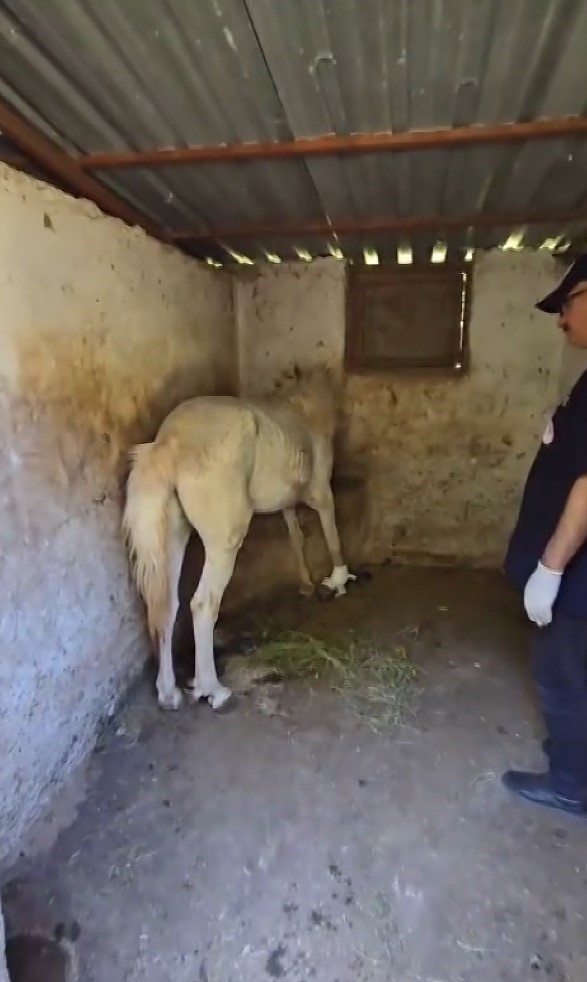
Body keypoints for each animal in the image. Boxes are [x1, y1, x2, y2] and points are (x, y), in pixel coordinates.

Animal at [122, 368, 354, 716]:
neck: (303, 411)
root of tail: (170, 444)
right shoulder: (321, 493)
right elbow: (332, 535)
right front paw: (337, 581)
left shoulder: (286, 503)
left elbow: (296, 537)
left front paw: (306, 585)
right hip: (224, 542)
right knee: (203, 605)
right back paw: (214, 691)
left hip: (174, 536)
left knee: (167, 605)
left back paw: (169, 693)